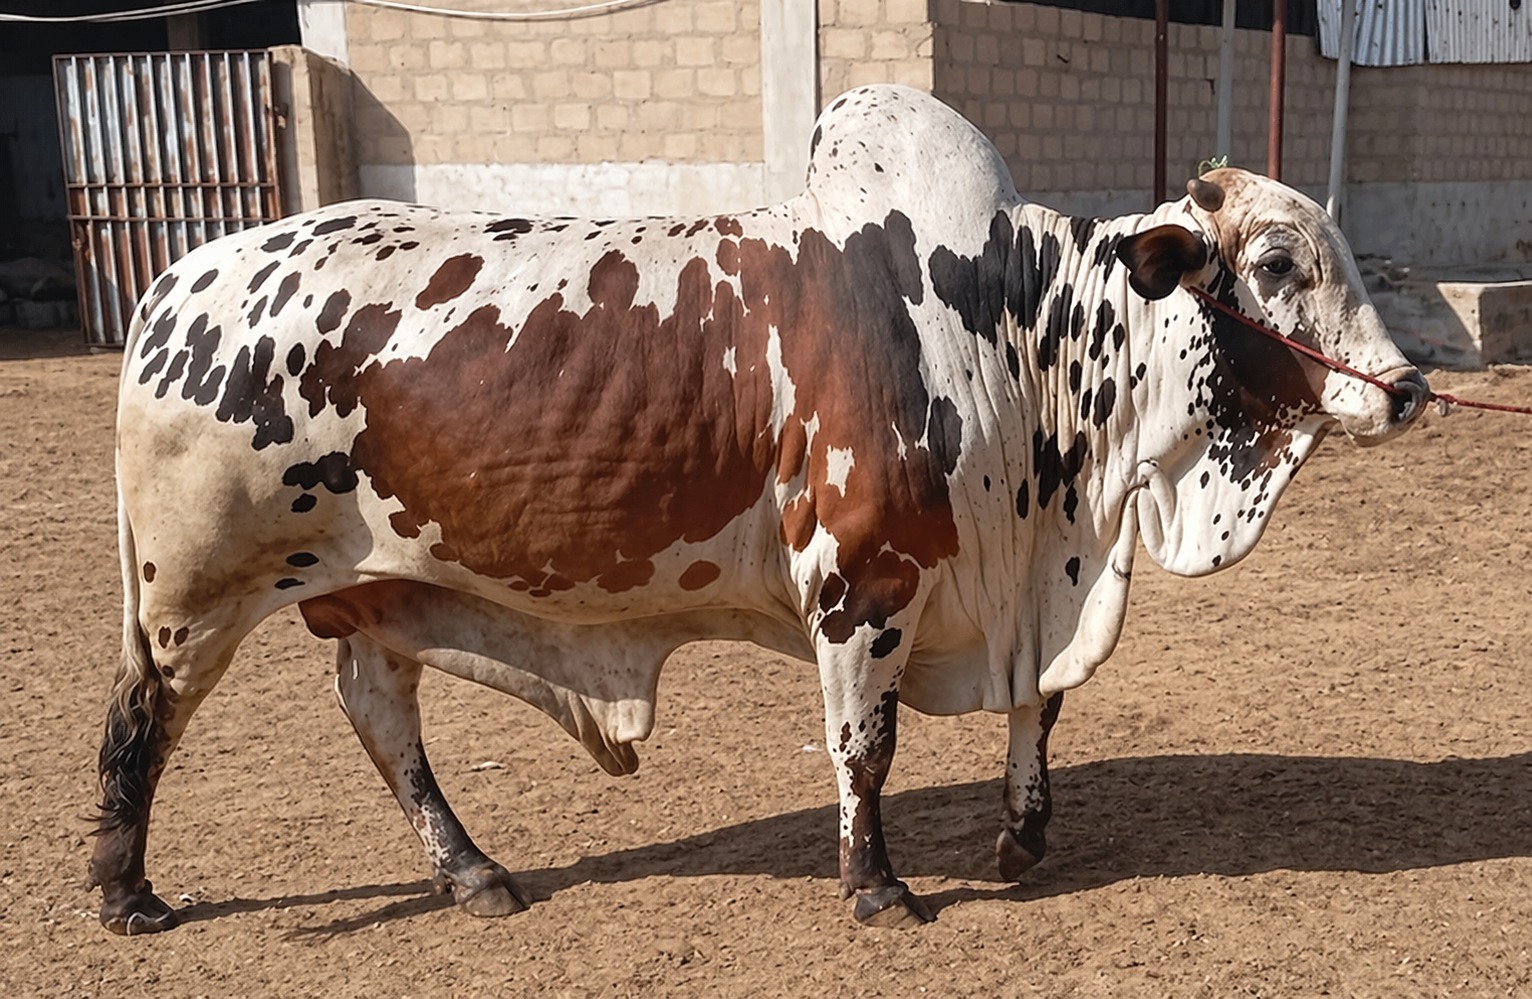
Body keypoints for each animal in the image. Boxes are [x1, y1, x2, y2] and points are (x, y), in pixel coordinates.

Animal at [90, 84, 1428, 934]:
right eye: (1275, 264)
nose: (1409, 389)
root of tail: (174, 281)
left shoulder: (1015, 584)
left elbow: (1037, 711)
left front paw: (1020, 839)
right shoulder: (860, 583)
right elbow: (862, 747)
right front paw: (876, 890)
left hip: (373, 590)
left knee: (380, 719)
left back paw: (472, 874)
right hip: (192, 592)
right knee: (143, 719)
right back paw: (125, 893)